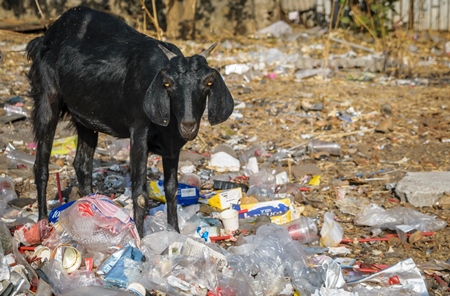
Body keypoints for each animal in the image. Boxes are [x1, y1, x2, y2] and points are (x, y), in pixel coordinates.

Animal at [27, 5, 236, 237]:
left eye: (208, 83)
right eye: (168, 83)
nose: (188, 124)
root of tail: (45, 37)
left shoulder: (172, 145)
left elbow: (171, 189)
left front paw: (174, 232)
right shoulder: (139, 132)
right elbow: (140, 193)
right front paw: (141, 239)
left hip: (85, 118)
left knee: (82, 164)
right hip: (47, 99)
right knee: (41, 164)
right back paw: (43, 223)